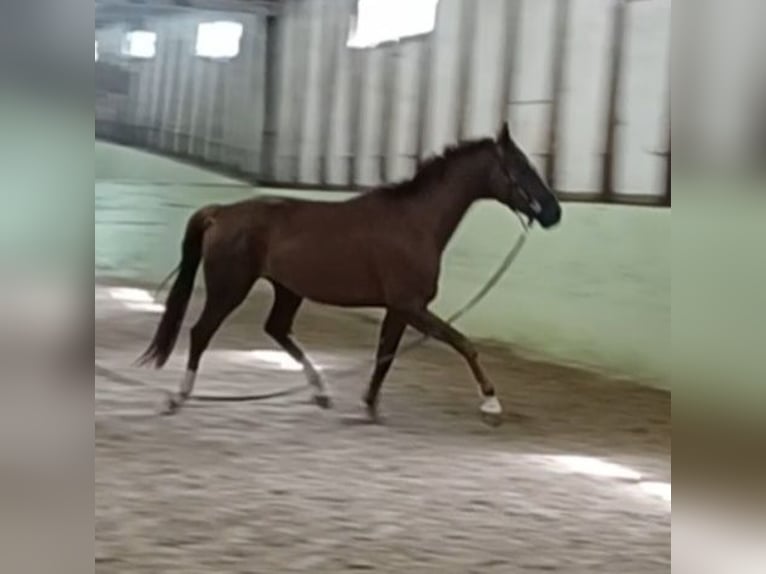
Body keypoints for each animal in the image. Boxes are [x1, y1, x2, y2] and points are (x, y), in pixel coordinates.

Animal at [138, 122, 561, 425]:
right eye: (522, 167)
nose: (554, 212)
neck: (415, 223)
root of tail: (221, 212)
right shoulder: (413, 307)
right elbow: (463, 343)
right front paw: (491, 403)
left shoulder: (399, 309)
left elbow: (385, 355)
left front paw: (370, 405)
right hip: (230, 289)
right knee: (201, 333)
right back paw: (178, 397)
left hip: (288, 290)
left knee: (277, 329)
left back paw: (322, 392)